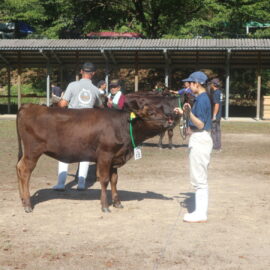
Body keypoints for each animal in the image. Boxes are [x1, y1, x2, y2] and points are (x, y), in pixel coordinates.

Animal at [16, 103, 173, 213]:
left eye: (162, 111)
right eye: (151, 113)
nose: (169, 120)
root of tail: (29, 106)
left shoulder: (115, 158)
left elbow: (114, 180)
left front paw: (117, 203)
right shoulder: (105, 155)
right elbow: (104, 180)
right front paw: (105, 206)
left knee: (18, 167)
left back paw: (23, 199)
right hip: (32, 151)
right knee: (24, 170)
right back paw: (28, 204)